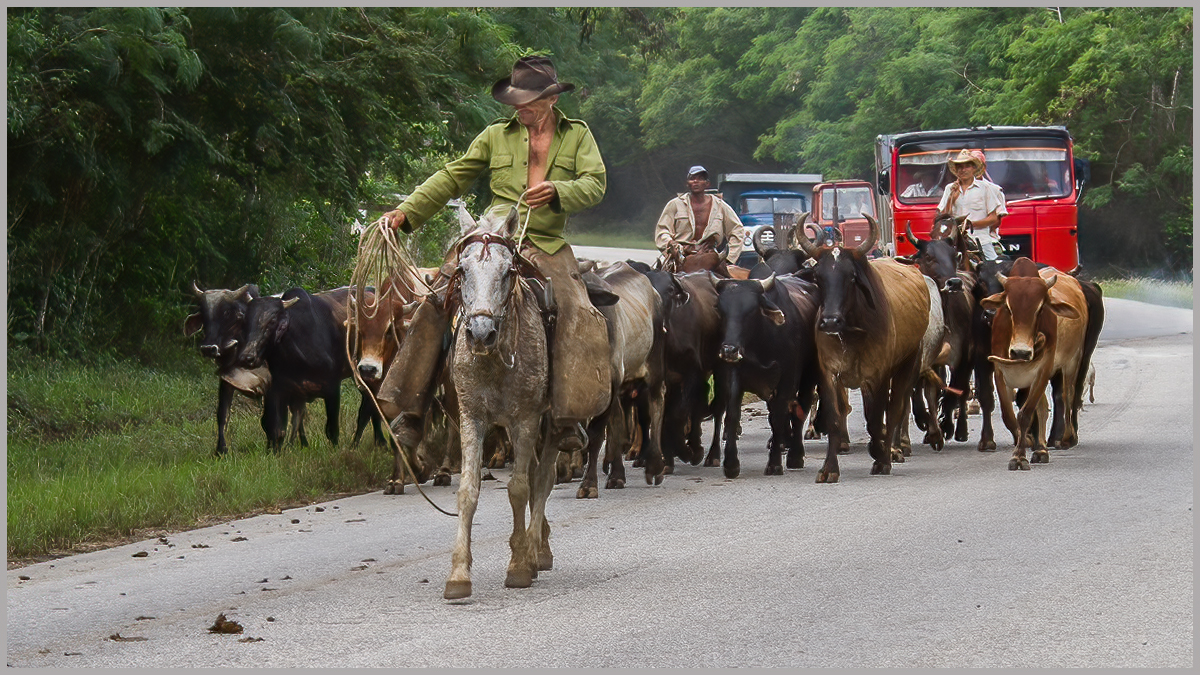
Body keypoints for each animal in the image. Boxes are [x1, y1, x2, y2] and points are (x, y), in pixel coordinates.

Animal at [444, 205, 554, 598]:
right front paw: (459, 574)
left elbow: (520, 489)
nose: (480, 333)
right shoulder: (471, 417)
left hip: (554, 425)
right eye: (462, 270)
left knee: (543, 477)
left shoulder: (527, 418)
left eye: (508, 272)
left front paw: (519, 565)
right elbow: (467, 491)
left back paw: (535, 550)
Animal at [705, 270, 820, 475]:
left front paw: (774, 463)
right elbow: (732, 414)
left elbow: (779, 415)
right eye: (720, 308)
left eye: (751, 310)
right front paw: (731, 463)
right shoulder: (734, 375)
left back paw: (795, 455)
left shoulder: (787, 379)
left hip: (809, 375)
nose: (729, 350)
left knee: (802, 408)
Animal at [801, 213, 931, 478]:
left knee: (896, 409)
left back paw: (891, 451)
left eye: (851, 277)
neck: (850, 333)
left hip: (908, 364)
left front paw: (880, 456)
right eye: (818, 277)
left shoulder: (877, 374)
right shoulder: (829, 372)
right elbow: (835, 418)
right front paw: (829, 468)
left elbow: (876, 419)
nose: (830, 321)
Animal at [984, 254, 1089, 470]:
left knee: (1067, 396)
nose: (1021, 352)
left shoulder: (1043, 369)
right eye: (1008, 308)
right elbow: (1010, 416)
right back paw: (1041, 449)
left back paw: (1065, 439)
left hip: (1072, 362)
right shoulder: (1000, 372)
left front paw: (1019, 457)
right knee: (1043, 407)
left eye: (1040, 309)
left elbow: (1025, 414)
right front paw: (1026, 445)